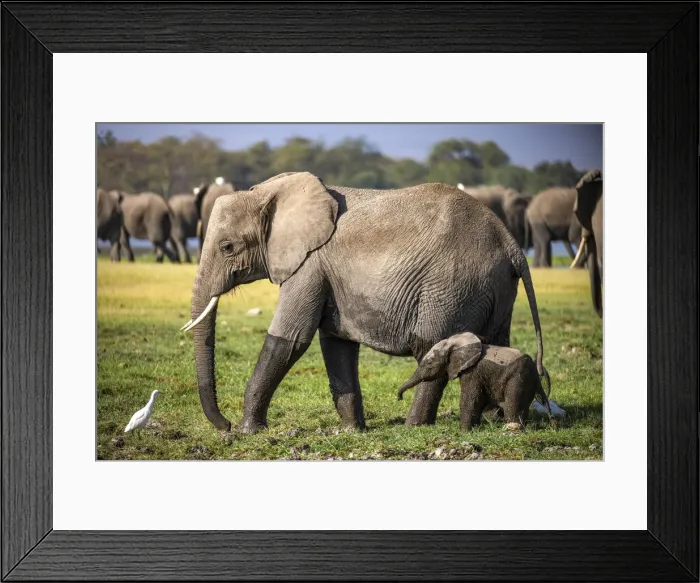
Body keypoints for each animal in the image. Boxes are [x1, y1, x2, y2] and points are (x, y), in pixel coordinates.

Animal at [397, 331, 551, 430]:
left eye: (428, 364)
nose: (399, 398)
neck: (457, 342)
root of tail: (536, 375)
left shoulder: (473, 372)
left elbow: (470, 399)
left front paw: (463, 432)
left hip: (519, 379)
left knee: (513, 405)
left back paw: (513, 429)